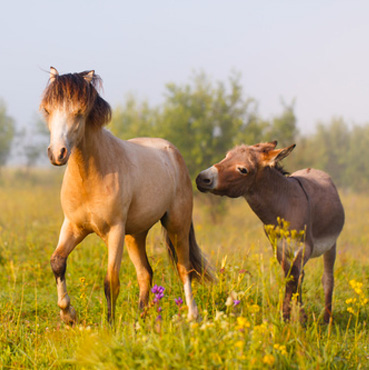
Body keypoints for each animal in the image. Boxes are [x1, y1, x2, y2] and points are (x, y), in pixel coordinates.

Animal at [40, 68, 211, 326]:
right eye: (48, 110)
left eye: (78, 112)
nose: (57, 154)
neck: (90, 177)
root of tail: (172, 152)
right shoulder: (73, 227)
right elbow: (57, 262)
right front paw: (68, 315)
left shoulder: (114, 231)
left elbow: (111, 281)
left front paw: (109, 327)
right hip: (136, 235)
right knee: (145, 273)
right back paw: (141, 320)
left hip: (176, 225)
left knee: (184, 269)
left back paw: (192, 316)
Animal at [197, 141, 344, 320]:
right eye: (226, 156)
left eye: (243, 170)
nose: (201, 178)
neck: (283, 205)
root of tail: (315, 170)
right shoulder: (278, 248)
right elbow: (290, 277)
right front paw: (291, 316)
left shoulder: (305, 248)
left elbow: (293, 278)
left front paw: (290, 319)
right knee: (301, 276)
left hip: (331, 245)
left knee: (327, 279)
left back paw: (326, 320)